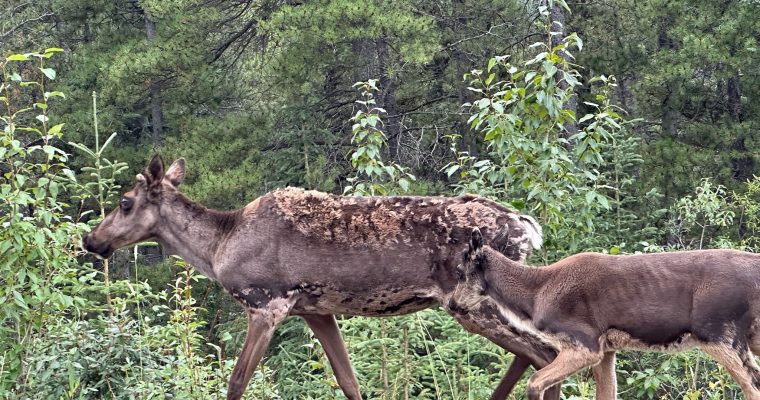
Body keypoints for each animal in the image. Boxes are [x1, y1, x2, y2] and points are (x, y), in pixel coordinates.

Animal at [83, 155, 560, 400]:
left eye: (125, 202)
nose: (91, 239)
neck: (219, 246)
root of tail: (526, 228)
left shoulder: (268, 302)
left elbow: (237, 381)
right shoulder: (314, 310)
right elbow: (349, 381)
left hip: (470, 302)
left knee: (543, 353)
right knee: (541, 353)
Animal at [454, 228, 760, 400]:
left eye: (459, 272)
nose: (453, 305)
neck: (534, 298)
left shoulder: (584, 344)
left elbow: (534, 383)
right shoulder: (607, 350)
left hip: (719, 334)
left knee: (752, 387)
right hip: (749, 337)